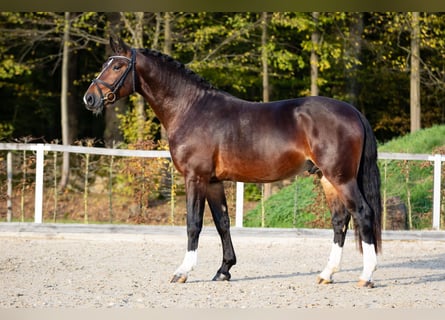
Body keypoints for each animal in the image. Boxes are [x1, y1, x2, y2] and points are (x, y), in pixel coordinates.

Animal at [83, 37, 382, 288]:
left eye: (117, 66)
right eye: (105, 64)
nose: (90, 98)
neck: (190, 109)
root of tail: (353, 112)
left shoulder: (195, 178)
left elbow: (194, 223)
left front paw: (183, 271)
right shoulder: (214, 182)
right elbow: (222, 223)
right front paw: (224, 270)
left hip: (341, 178)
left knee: (363, 213)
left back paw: (366, 276)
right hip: (327, 178)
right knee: (340, 220)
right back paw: (326, 274)